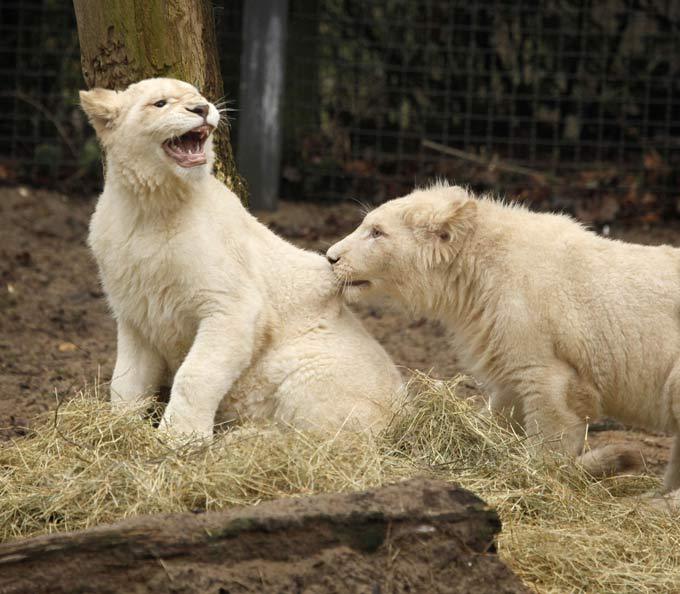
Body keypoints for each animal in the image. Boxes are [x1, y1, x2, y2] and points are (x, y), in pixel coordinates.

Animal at [80, 78, 402, 439]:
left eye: (198, 95)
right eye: (159, 103)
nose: (202, 108)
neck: (150, 206)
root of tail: (406, 408)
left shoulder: (233, 306)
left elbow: (195, 373)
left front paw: (178, 438)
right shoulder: (136, 312)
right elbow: (125, 379)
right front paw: (117, 426)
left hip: (313, 368)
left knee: (319, 438)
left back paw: (241, 438)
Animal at [326, 181, 680, 490]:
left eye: (377, 232)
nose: (331, 257)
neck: (481, 268)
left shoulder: (546, 369)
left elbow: (549, 433)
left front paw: (538, 479)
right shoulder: (509, 357)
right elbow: (498, 411)